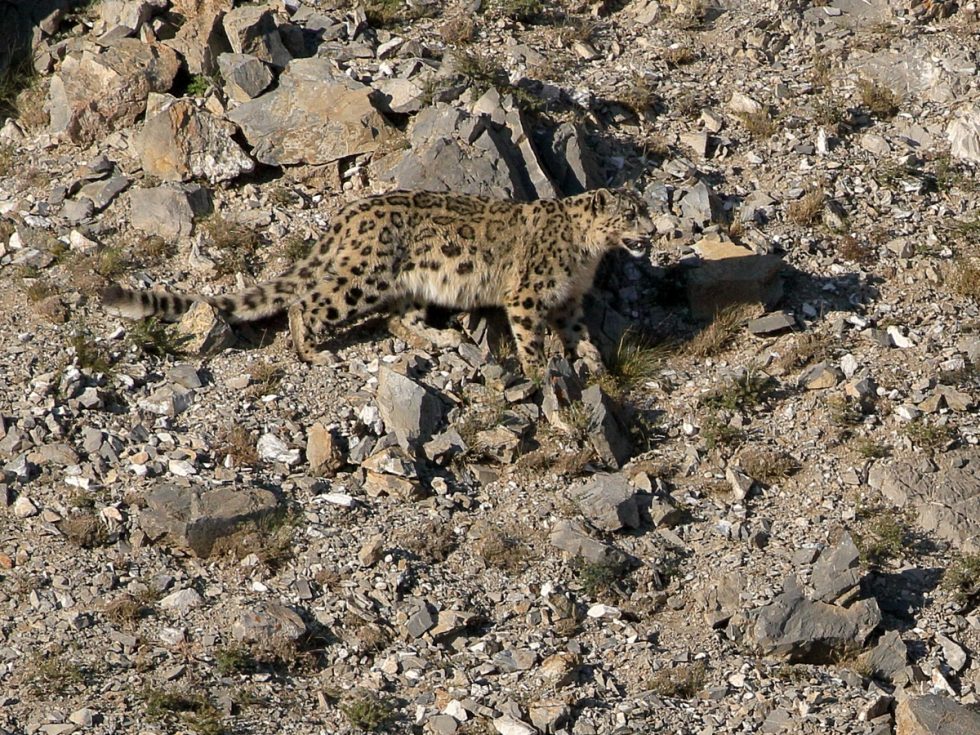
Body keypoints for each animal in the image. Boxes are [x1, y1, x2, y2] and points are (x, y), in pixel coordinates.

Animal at [102, 187, 652, 375]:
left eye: (645, 209)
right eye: (630, 214)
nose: (651, 232)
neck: (587, 259)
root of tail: (349, 213)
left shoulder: (570, 302)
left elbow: (581, 337)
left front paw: (595, 365)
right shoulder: (529, 297)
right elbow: (532, 341)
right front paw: (540, 375)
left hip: (409, 285)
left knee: (395, 319)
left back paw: (435, 338)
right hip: (360, 279)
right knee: (308, 302)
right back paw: (312, 352)